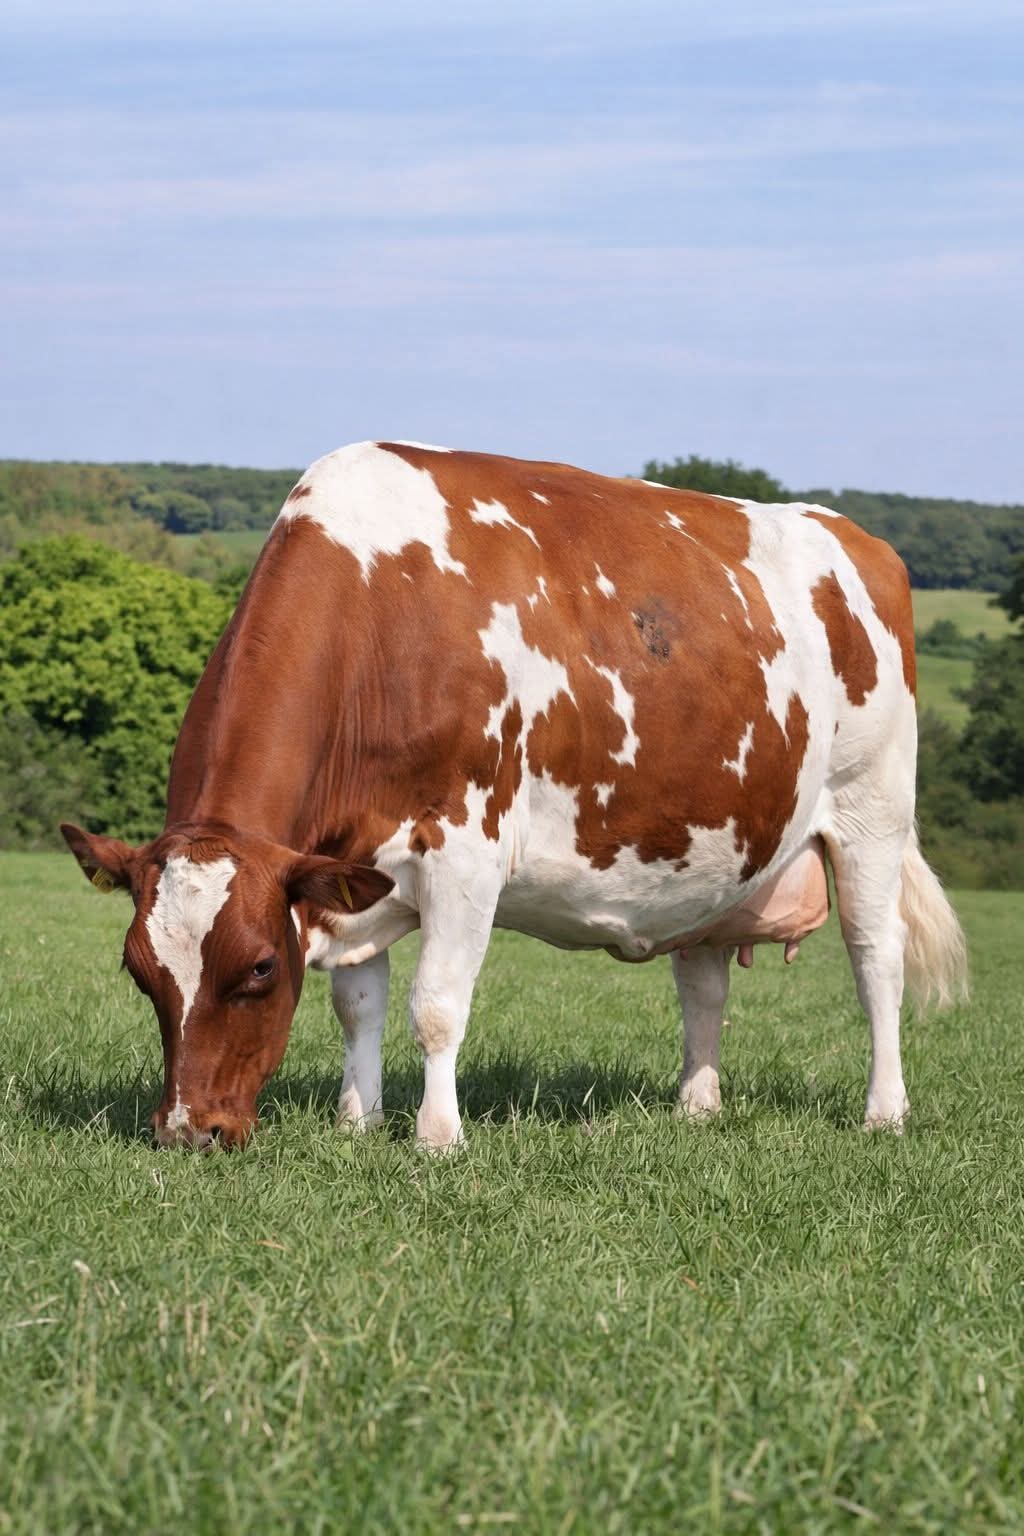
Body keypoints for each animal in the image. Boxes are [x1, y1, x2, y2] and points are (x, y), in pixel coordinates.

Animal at [61, 441, 967, 1150]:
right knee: (704, 977)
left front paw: (437, 1139)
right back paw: (697, 1108)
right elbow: (358, 1003)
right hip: (719, 841)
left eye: (256, 967)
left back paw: (884, 1112)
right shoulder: (348, 865)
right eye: (138, 969)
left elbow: (435, 1005)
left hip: (872, 812)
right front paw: (358, 1122)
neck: (377, 619)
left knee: (876, 958)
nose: (189, 1132)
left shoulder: (465, 847)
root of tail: (854, 535)